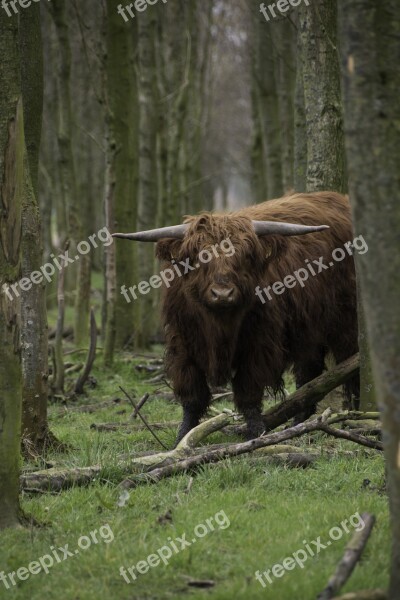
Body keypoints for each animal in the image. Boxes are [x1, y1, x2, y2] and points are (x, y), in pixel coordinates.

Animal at [113, 192, 360, 446]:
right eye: (199, 256)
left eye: (245, 256)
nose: (222, 294)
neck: (219, 325)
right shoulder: (182, 344)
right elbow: (193, 395)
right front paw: (183, 436)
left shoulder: (258, 344)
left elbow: (248, 390)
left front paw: (256, 434)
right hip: (308, 330)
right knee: (310, 375)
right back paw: (299, 422)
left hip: (348, 324)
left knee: (352, 369)